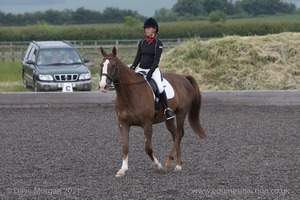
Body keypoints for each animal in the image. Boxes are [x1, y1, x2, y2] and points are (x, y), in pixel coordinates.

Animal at [99, 47, 205, 177]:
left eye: (113, 65)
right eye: (101, 65)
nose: (102, 86)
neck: (130, 93)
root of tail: (183, 77)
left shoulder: (147, 124)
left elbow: (148, 148)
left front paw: (158, 166)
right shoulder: (123, 124)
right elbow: (125, 146)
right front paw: (122, 169)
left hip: (181, 112)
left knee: (179, 133)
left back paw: (169, 162)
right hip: (168, 119)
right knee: (175, 135)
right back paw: (178, 164)